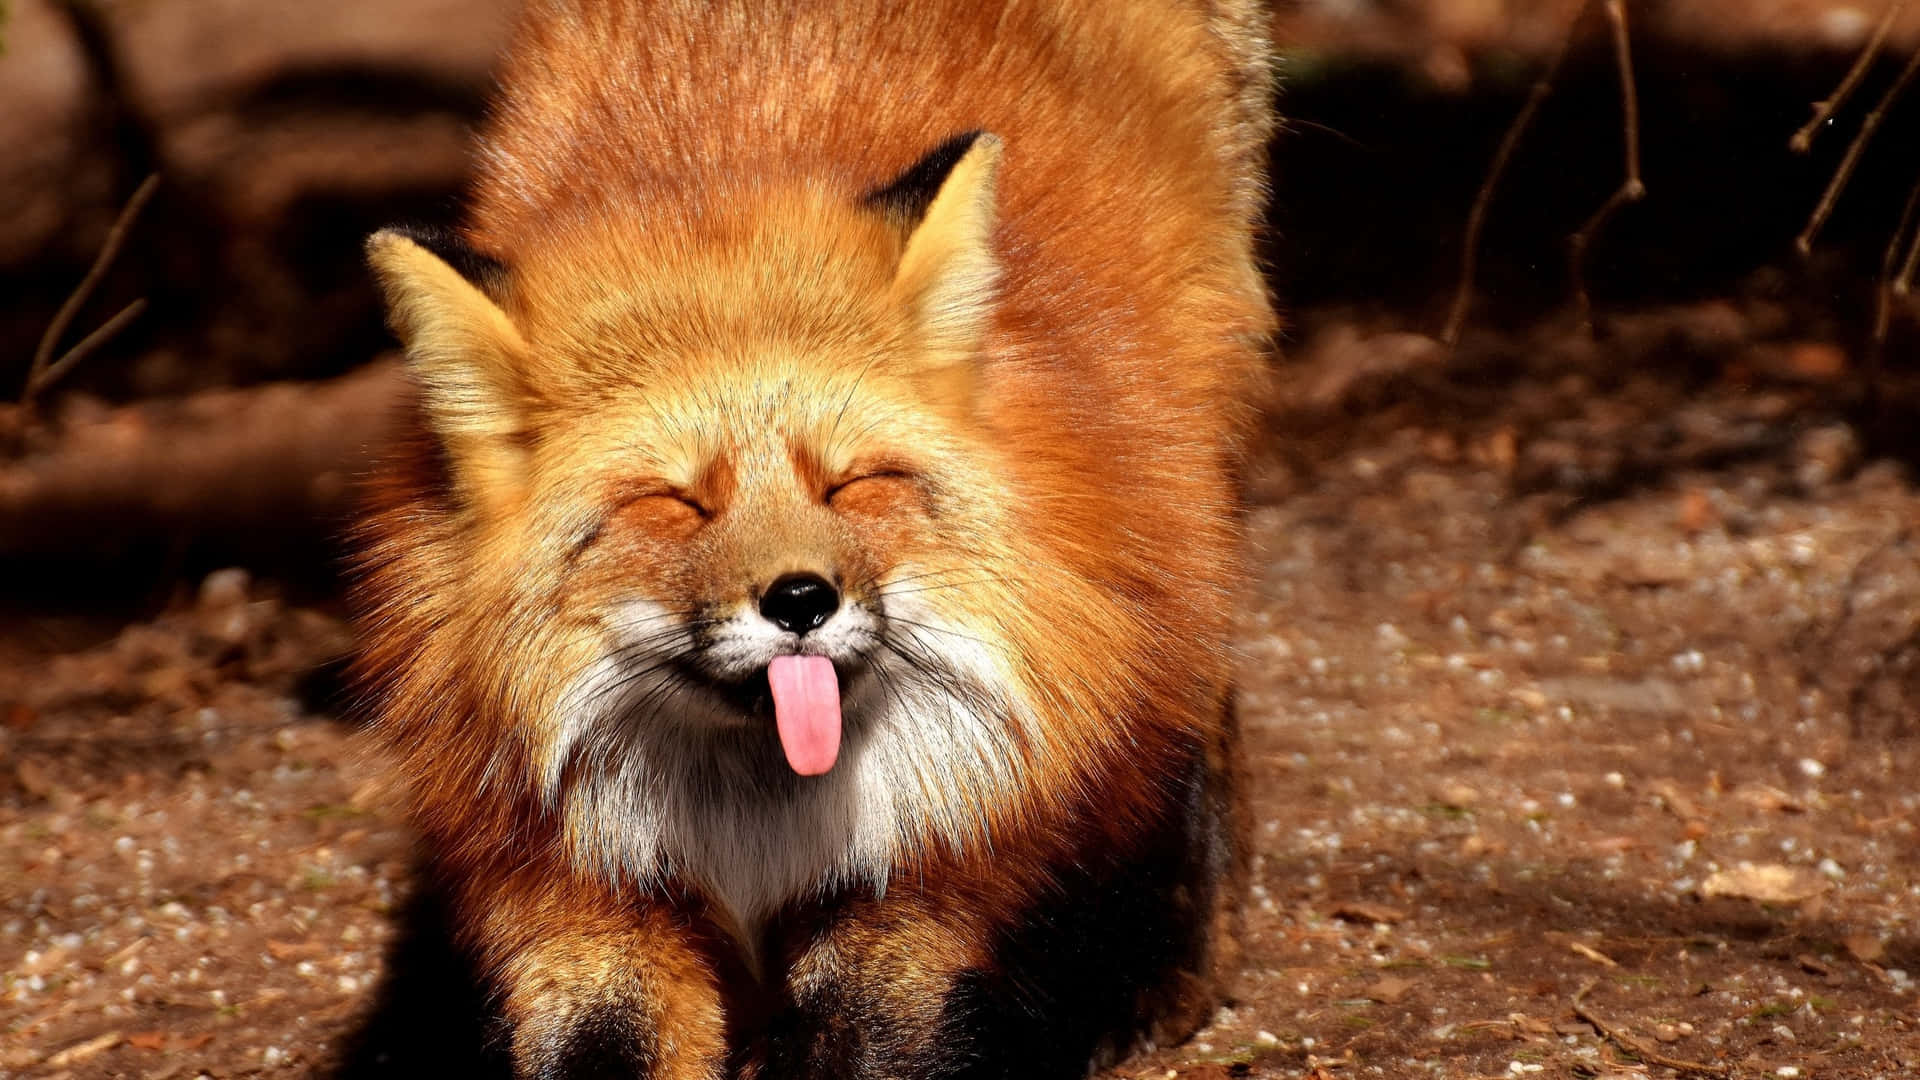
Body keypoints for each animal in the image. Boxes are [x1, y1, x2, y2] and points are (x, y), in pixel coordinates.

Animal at [341, 1, 1276, 1077]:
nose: (800, 600)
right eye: (677, 503)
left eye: (849, 483)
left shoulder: (924, 885)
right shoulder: (578, 895)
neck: (757, 828)